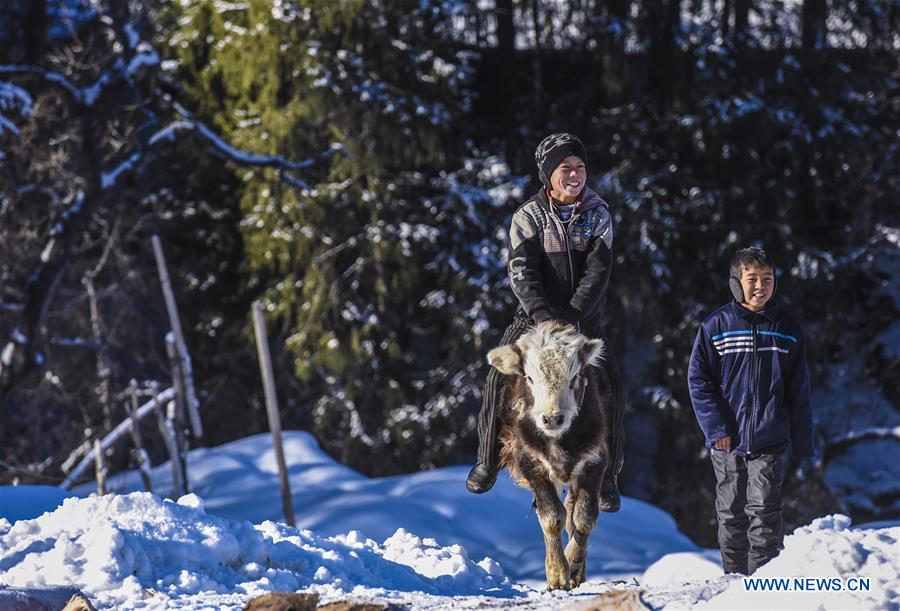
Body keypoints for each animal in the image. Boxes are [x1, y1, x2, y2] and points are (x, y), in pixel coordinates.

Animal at [488, 322, 616, 592]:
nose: (552, 418)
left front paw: (574, 566)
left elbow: (583, 518)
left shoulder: (595, 460)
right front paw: (557, 574)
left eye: (575, 377)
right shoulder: (530, 461)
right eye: (529, 377)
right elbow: (551, 517)